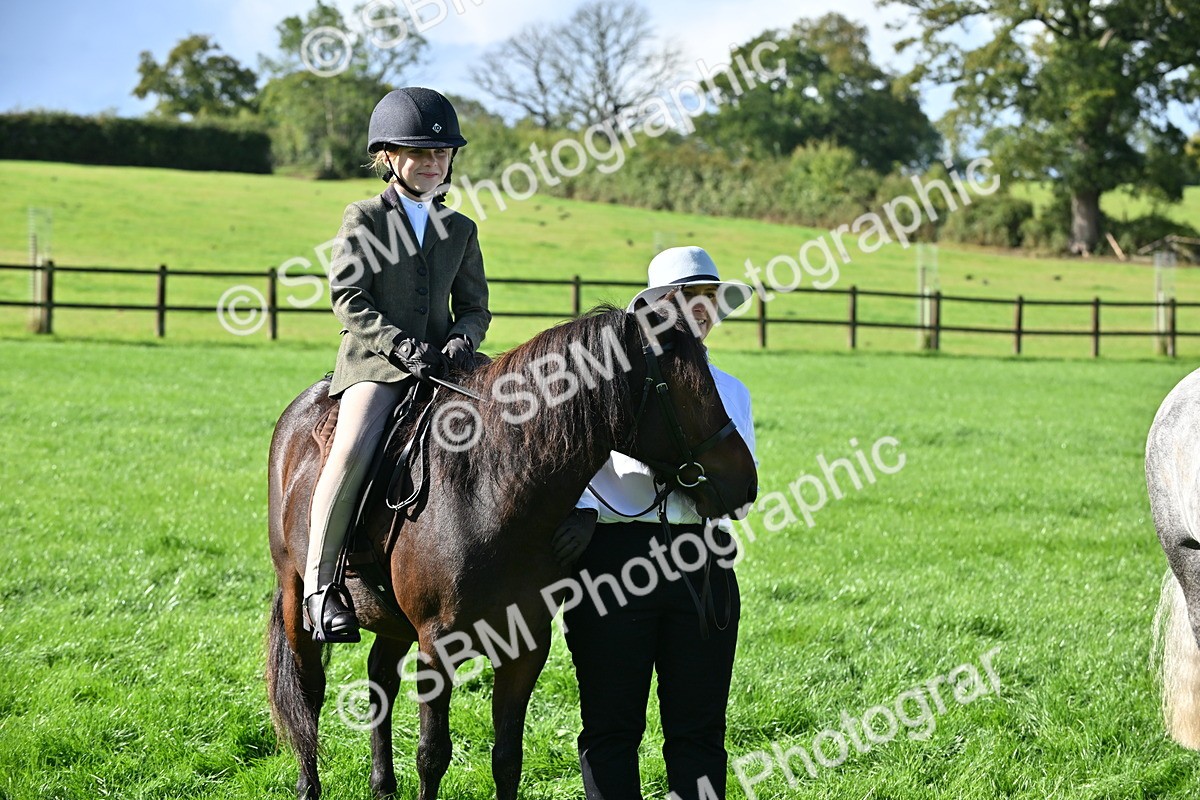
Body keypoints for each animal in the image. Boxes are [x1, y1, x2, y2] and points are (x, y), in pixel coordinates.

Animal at [265, 305, 759, 799]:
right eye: (681, 390)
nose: (746, 483)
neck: (488, 493)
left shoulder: (525, 647)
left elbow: (507, 758)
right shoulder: (436, 648)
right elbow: (432, 755)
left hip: (392, 621)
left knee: (379, 678)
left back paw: (383, 785)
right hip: (296, 595)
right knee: (309, 691)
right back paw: (308, 784)